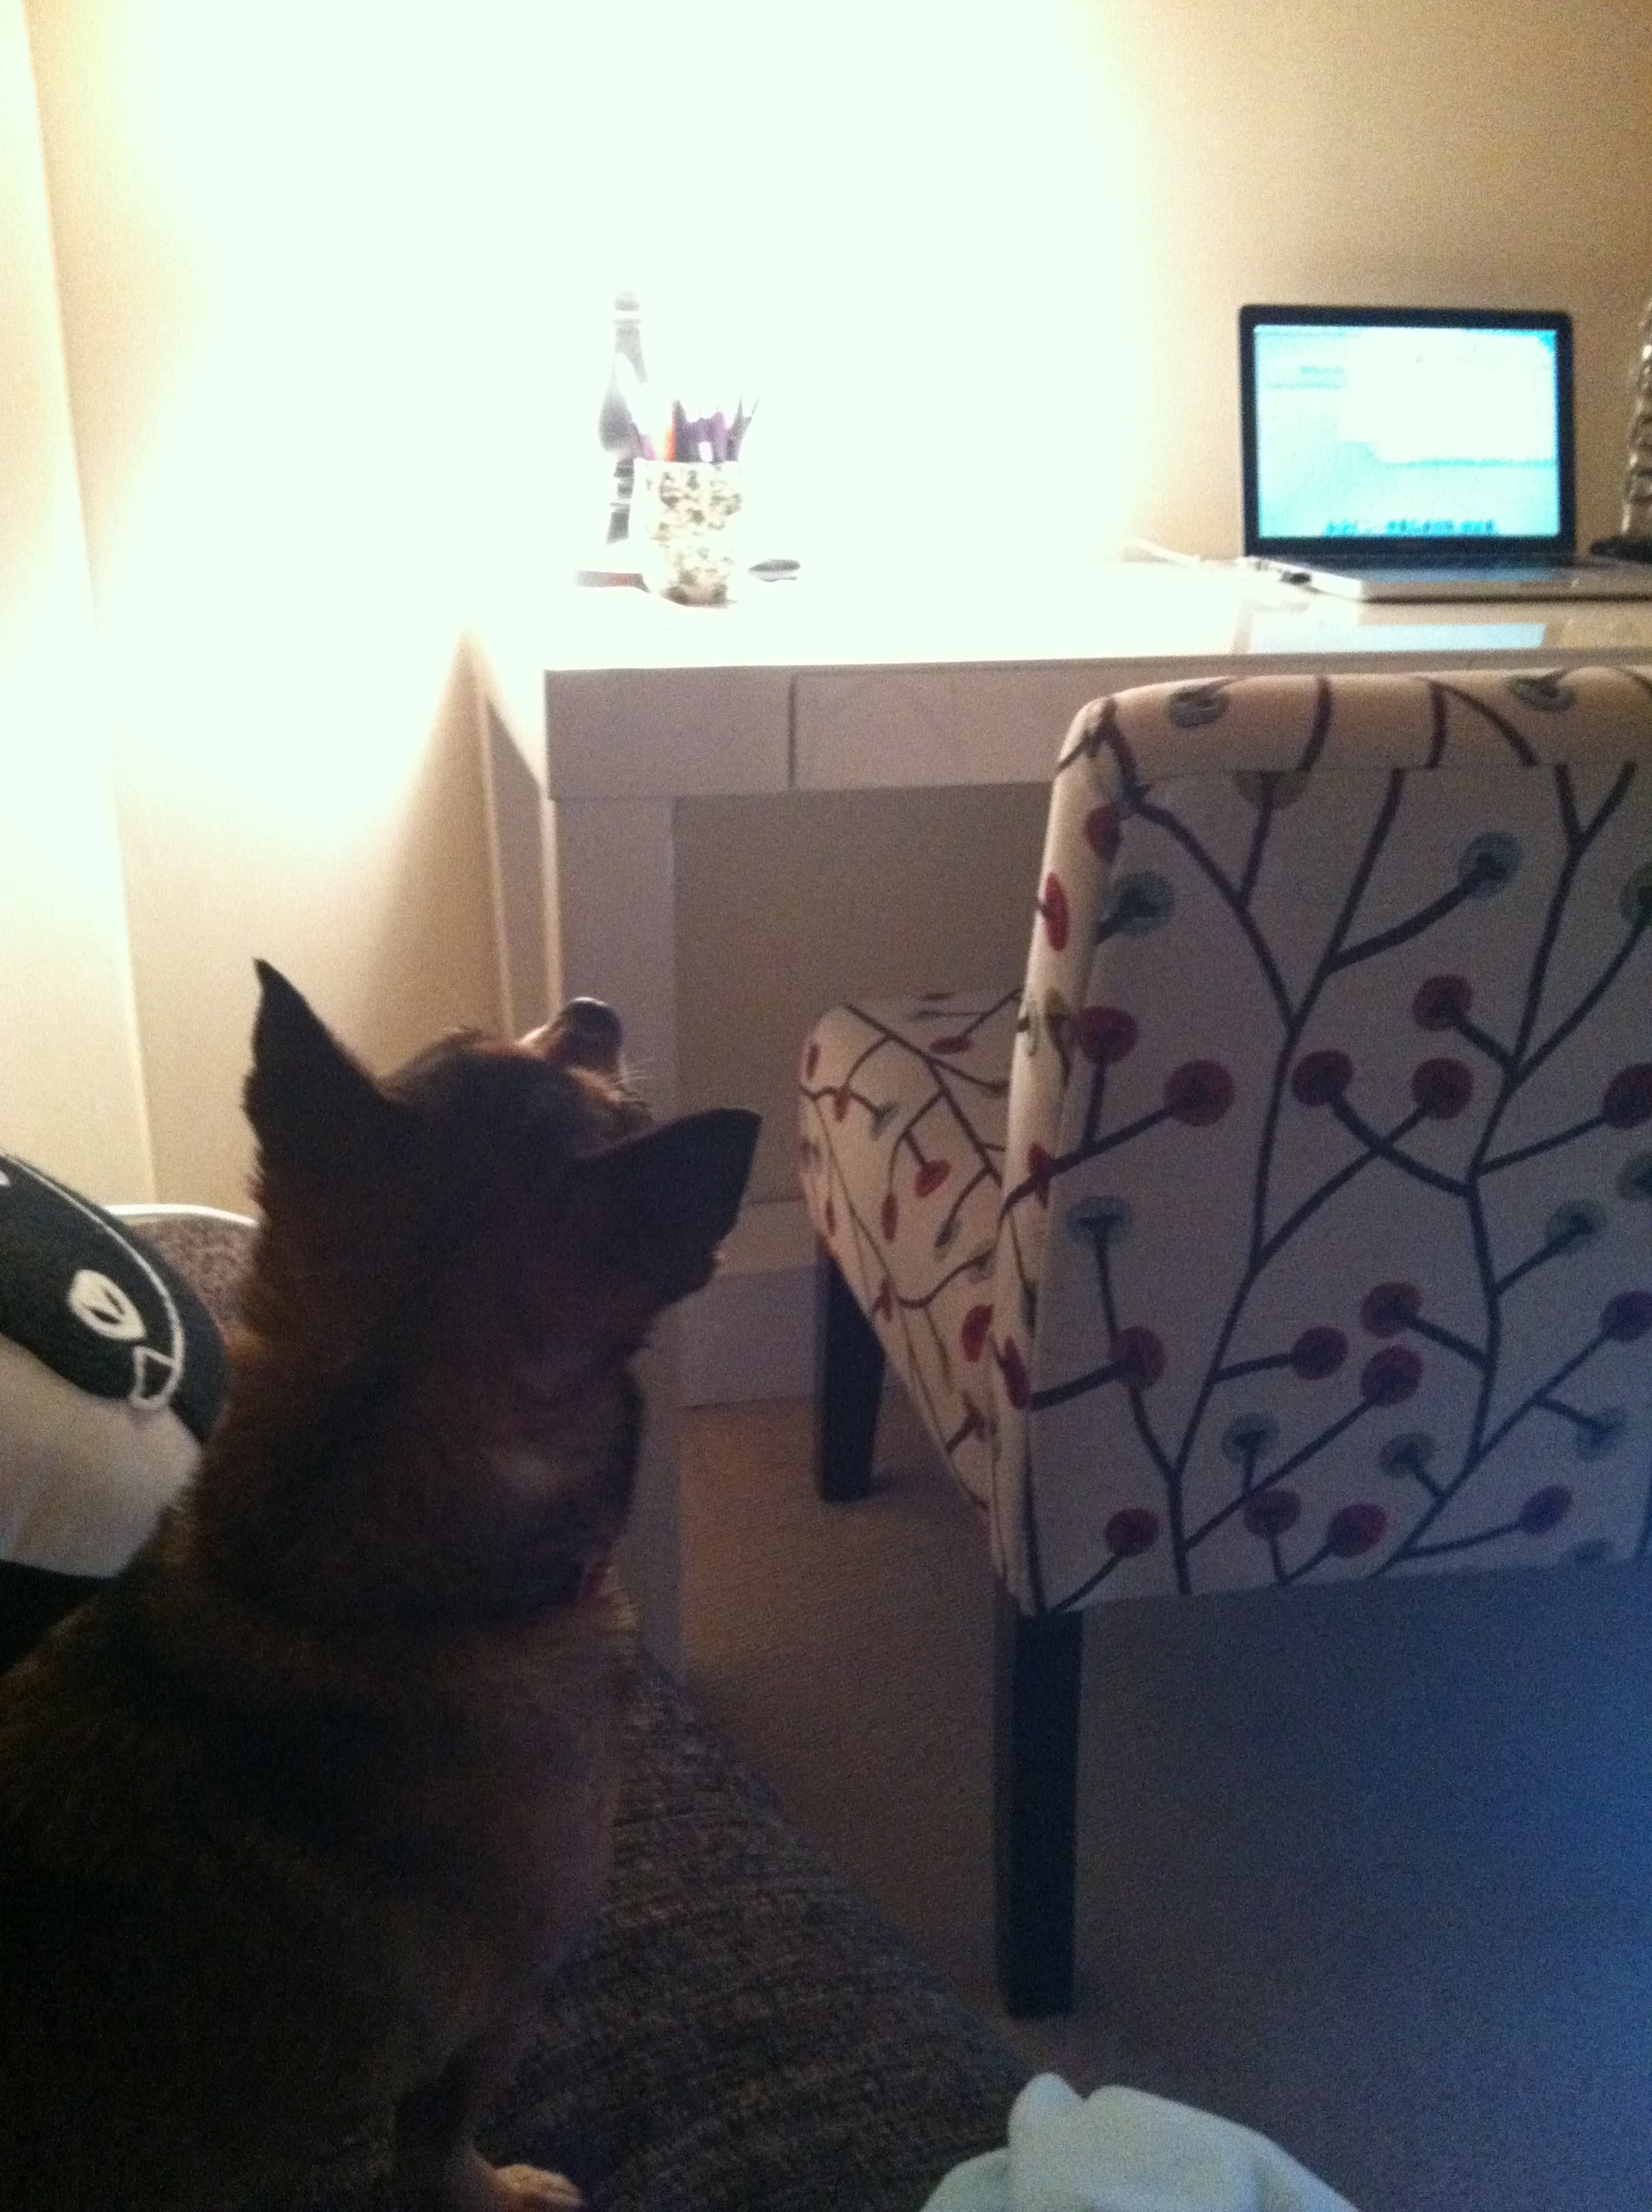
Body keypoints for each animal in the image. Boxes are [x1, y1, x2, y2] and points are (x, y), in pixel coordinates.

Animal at [0, 963, 759, 2211]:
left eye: (472, 1032)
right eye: (614, 1105)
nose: (590, 1008)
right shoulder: (494, 2012)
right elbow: (438, 2145)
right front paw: (502, 2194)